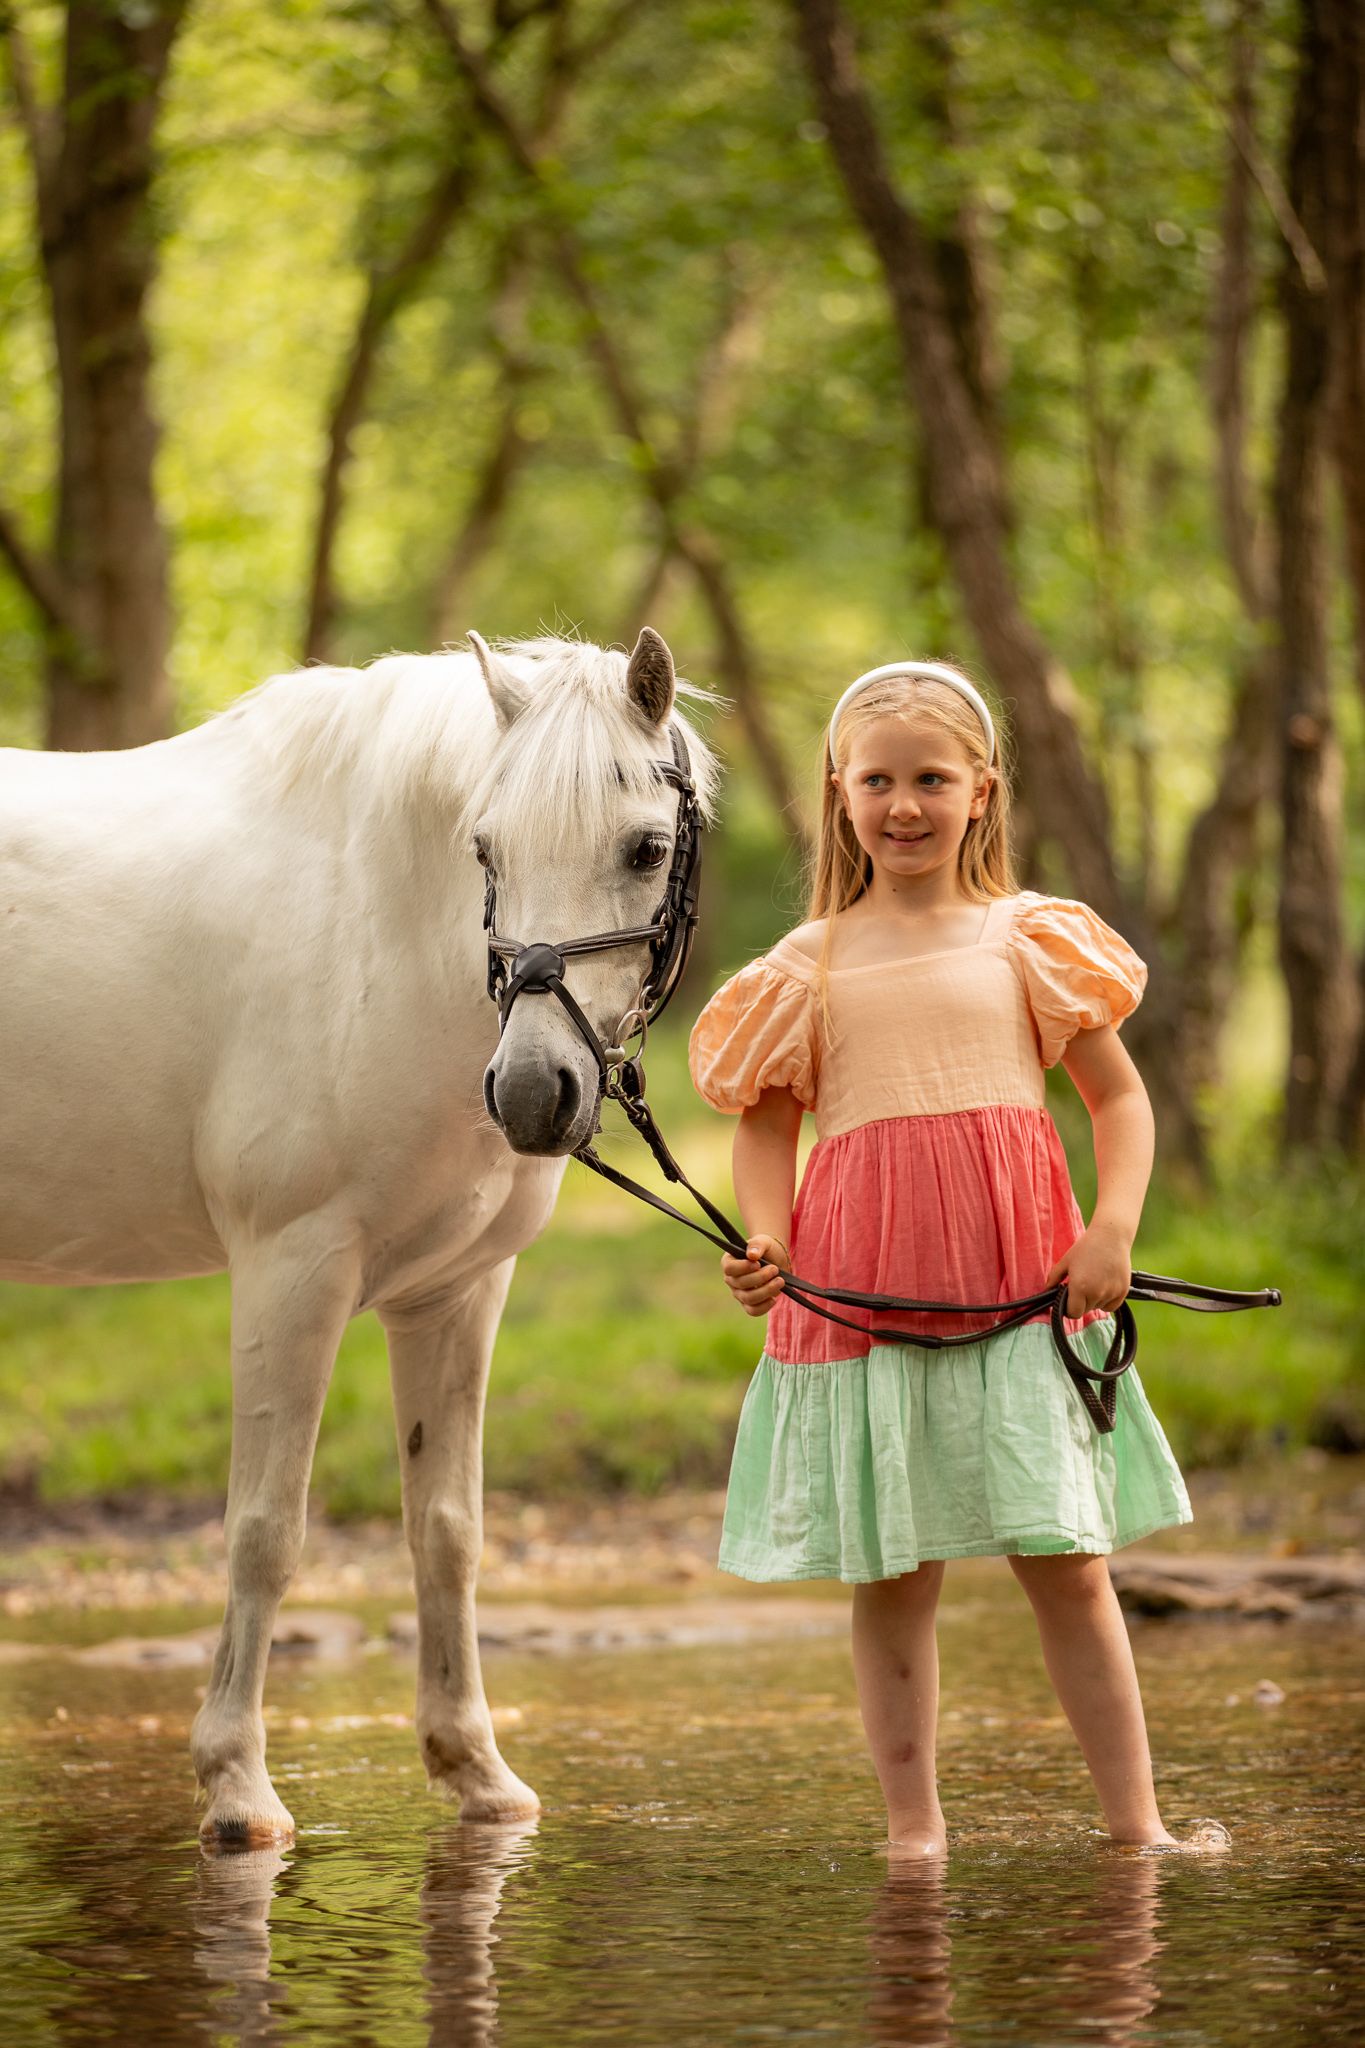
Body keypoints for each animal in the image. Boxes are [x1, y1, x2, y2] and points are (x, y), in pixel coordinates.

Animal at [0, 627, 720, 1848]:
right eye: (484, 844)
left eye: (645, 847)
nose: (533, 1092)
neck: (378, 924)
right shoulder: (292, 1271)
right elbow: (265, 1529)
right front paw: (238, 1790)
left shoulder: (456, 1292)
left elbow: (448, 1527)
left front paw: (475, 1770)